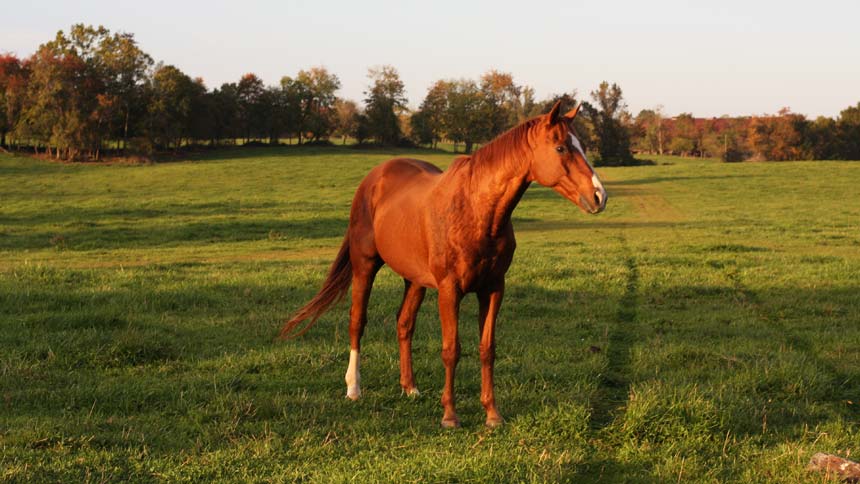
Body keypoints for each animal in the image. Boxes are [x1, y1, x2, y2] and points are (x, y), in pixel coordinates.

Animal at [280, 101, 604, 428]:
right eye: (561, 147)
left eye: (582, 145)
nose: (599, 196)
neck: (476, 209)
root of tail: (375, 177)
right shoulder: (450, 290)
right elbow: (451, 350)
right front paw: (450, 414)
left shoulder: (493, 289)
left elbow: (487, 349)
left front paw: (492, 413)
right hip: (365, 266)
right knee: (357, 321)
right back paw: (354, 388)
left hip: (415, 280)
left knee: (404, 324)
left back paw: (409, 387)